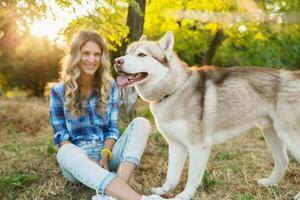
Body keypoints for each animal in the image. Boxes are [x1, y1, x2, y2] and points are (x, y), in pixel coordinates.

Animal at [114, 32, 300, 199]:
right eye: (127, 53)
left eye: (141, 54)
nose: (117, 61)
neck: (175, 89)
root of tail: (295, 74)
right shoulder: (176, 145)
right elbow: (171, 175)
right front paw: (164, 190)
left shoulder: (199, 147)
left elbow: (191, 178)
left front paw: (184, 196)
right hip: (271, 132)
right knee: (283, 160)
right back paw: (269, 183)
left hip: (288, 135)